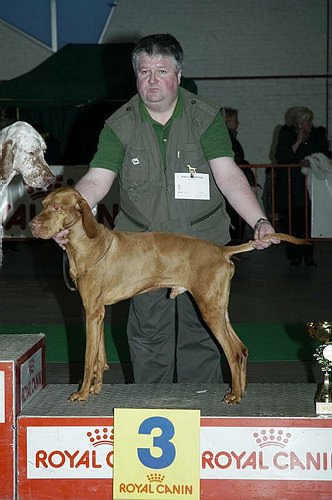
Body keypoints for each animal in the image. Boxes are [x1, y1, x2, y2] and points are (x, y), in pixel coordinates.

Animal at [29, 187, 308, 402]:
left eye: (56, 207)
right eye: (42, 205)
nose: (32, 225)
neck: (88, 244)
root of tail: (220, 251)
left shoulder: (92, 313)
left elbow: (88, 359)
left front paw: (82, 393)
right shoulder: (98, 313)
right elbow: (99, 357)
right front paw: (96, 388)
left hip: (209, 311)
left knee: (232, 352)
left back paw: (235, 396)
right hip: (219, 309)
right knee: (242, 348)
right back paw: (242, 389)